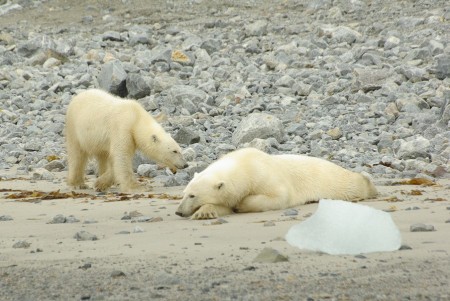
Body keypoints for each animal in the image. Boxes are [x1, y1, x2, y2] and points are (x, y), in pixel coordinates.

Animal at [175, 147, 376, 218]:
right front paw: (205, 212)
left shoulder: (264, 174)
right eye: (183, 194)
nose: (178, 211)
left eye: (192, 195)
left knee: (350, 184)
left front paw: (242, 205)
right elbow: (224, 206)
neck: (244, 164)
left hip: (331, 179)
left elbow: (279, 196)